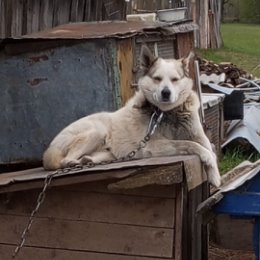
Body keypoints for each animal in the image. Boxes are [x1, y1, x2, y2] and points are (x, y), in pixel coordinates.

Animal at [43, 45, 221, 187]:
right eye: (157, 79)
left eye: (175, 79)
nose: (166, 93)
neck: (166, 113)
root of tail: (50, 146)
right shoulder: (153, 146)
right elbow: (192, 145)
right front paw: (207, 159)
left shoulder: (198, 135)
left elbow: (209, 148)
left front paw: (214, 175)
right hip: (96, 132)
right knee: (63, 160)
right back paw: (73, 163)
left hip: (108, 152)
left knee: (90, 158)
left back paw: (86, 161)